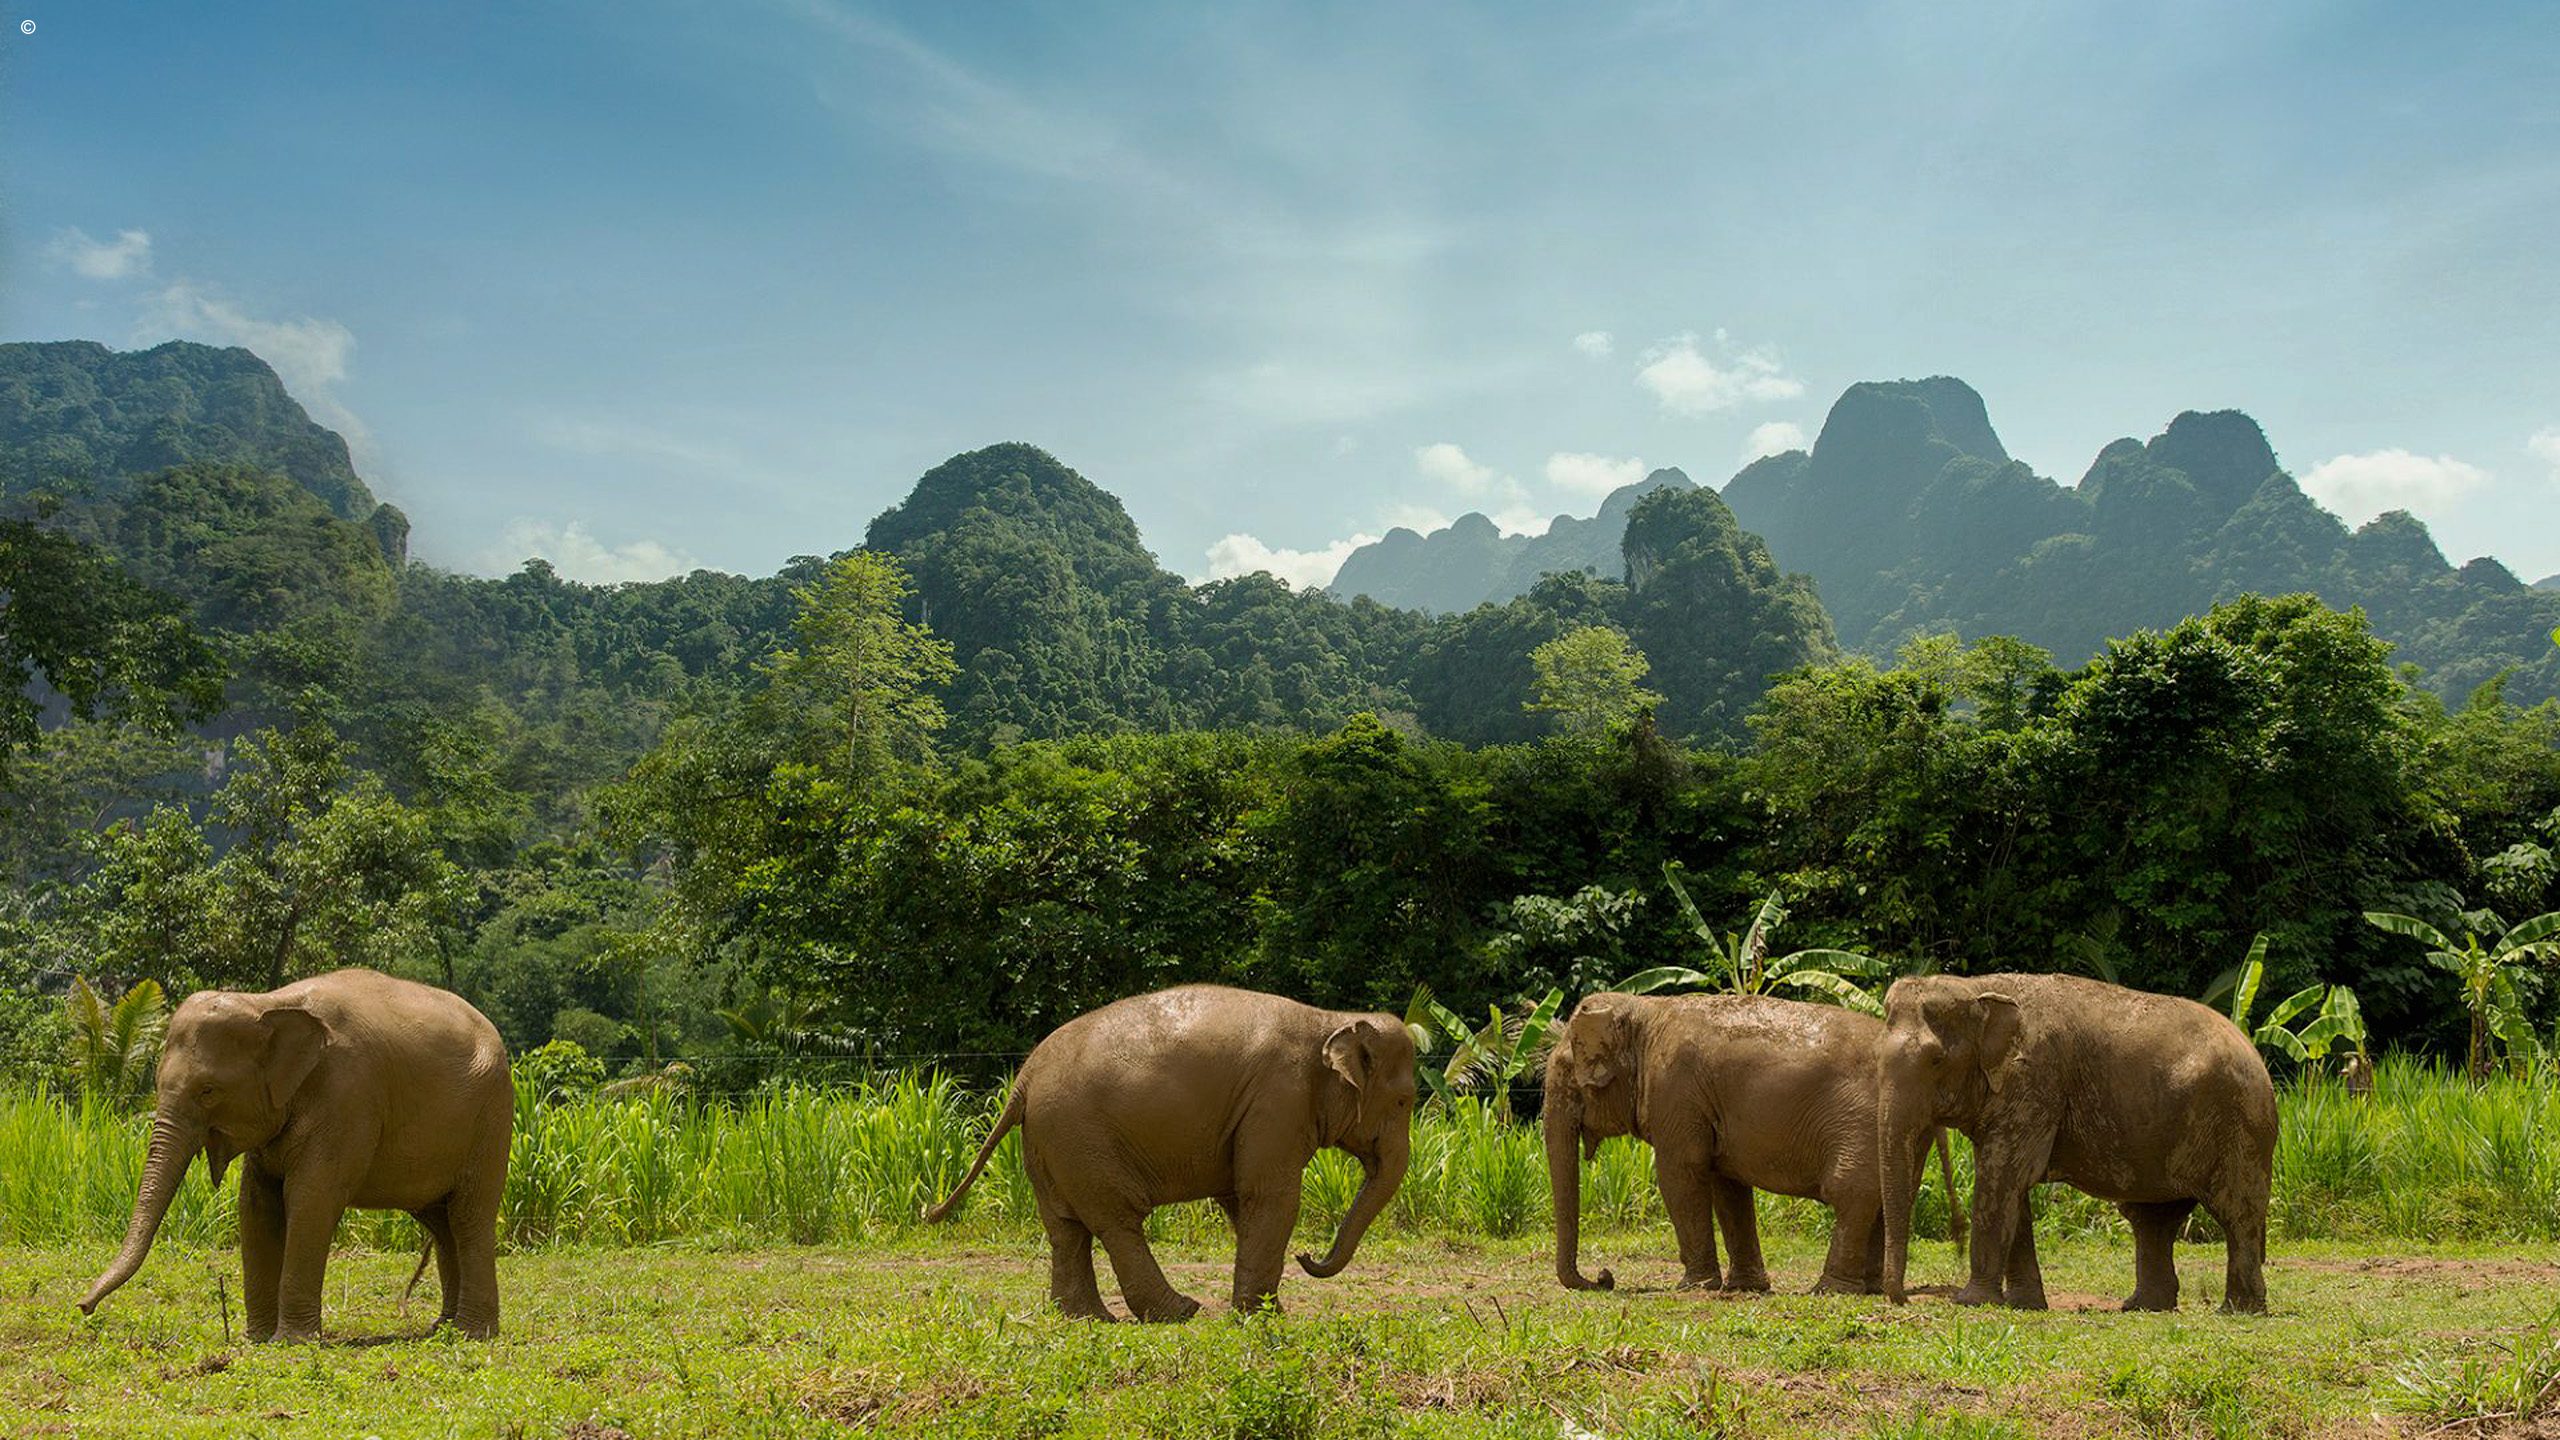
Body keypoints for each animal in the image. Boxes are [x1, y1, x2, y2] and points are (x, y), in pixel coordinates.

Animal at [80, 969, 514, 1341]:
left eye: (207, 1090)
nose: (84, 1306)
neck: (267, 1003)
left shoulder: (347, 1096)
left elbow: (310, 1199)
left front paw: (291, 1340)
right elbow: (256, 1204)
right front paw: (257, 1338)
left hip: (491, 1119)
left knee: (469, 1216)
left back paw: (472, 1333)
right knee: (441, 1222)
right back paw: (442, 1328)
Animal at [923, 984, 1417, 1321]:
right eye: (1403, 1102)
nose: (1307, 1256)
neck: (1331, 1019)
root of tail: (1024, 1078)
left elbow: (1241, 1200)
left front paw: (1259, 1311)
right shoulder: (1279, 1100)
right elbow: (1270, 1197)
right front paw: (1262, 1317)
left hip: (1048, 1144)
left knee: (1066, 1228)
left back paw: (1090, 1319)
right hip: (1079, 1138)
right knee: (1116, 1222)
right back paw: (1179, 1311)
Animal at [1545, 991, 1963, 1296]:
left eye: (1568, 1075)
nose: (1604, 1277)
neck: (1644, 1009)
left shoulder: (1676, 1091)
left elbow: (1681, 1175)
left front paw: (1693, 1287)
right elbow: (1727, 1186)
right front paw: (1746, 1288)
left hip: (1864, 1123)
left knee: (1852, 1190)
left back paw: (1830, 1290)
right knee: (1889, 1195)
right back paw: (1870, 1288)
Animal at [1877, 973, 2276, 1314]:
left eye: (1936, 1060)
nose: (1904, 1299)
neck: (1977, 988)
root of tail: (2255, 1054)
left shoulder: (2035, 1083)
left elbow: (2001, 1177)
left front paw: (1971, 1302)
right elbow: (2011, 1190)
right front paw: (2024, 1305)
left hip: (2239, 1125)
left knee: (2235, 1213)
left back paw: (2237, 1310)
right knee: (2152, 1219)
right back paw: (2143, 1307)